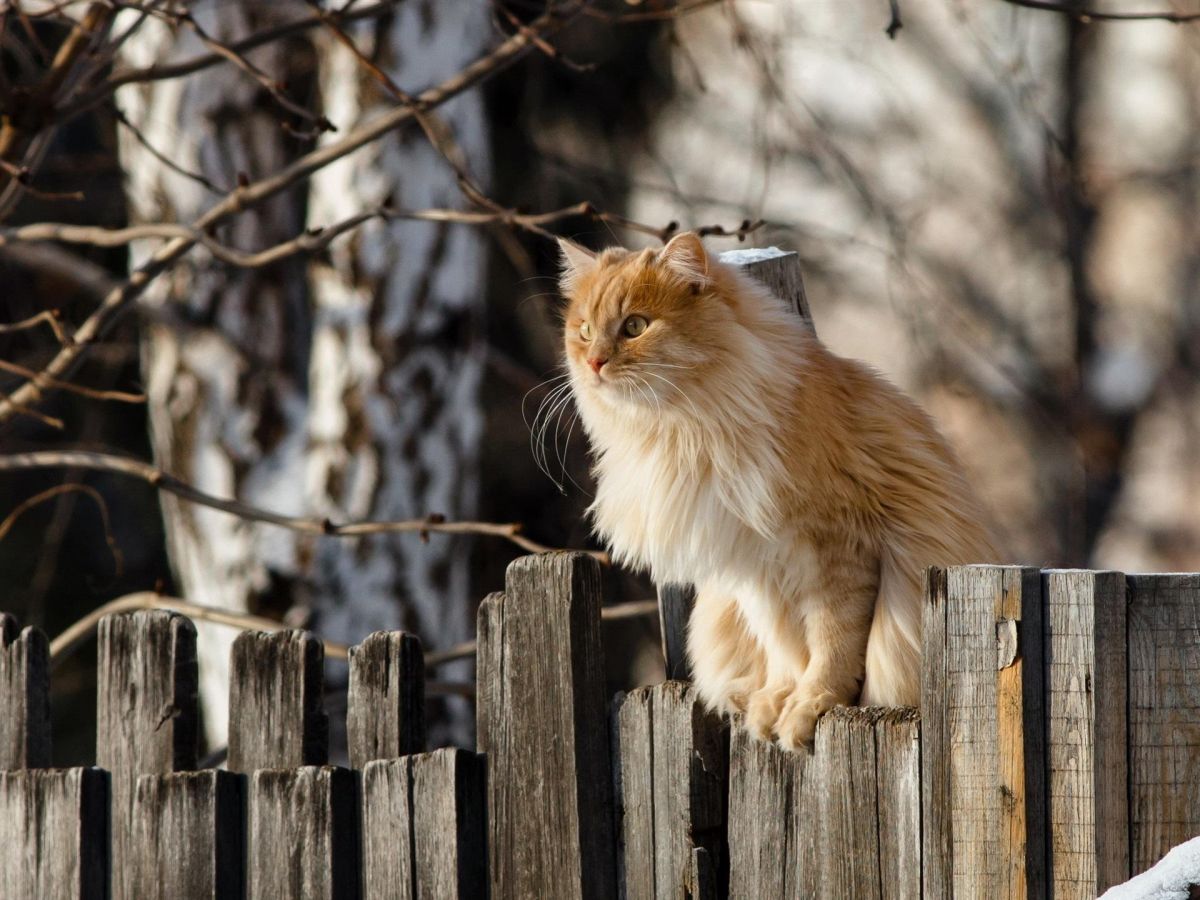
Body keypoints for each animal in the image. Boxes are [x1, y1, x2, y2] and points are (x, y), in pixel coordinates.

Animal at [556, 232, 998, 753]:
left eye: (634, 326)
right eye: (585, 330)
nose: (594, 362)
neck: (682, 430)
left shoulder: (838, 548)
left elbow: (833, 642)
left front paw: (813, 705)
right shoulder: (751, 564)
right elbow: (786, 646)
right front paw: (779, 701)